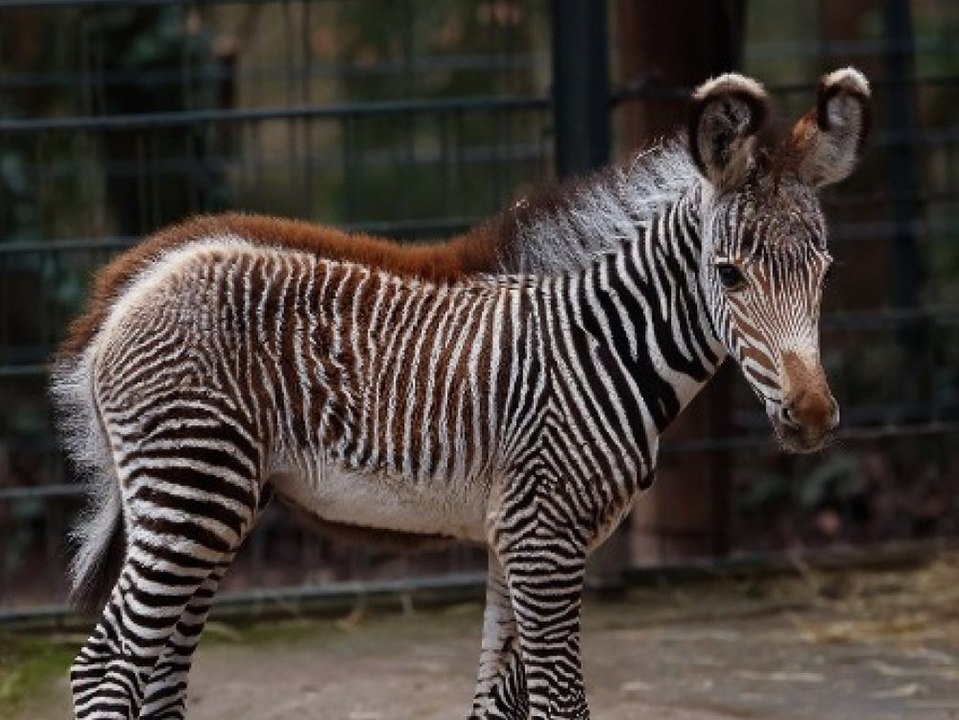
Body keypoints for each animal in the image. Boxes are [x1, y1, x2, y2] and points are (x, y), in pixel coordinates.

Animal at [51, 67, 870, 719]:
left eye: (825, 271)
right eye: (729, 275)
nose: (811, 418)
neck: (605, 349)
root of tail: (132, 283)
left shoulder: (514, 537)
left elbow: (499, 704)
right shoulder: (543, 537)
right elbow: (562, 702)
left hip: (213, 502)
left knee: (158, 677)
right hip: (190, 490)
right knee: (105, 669)